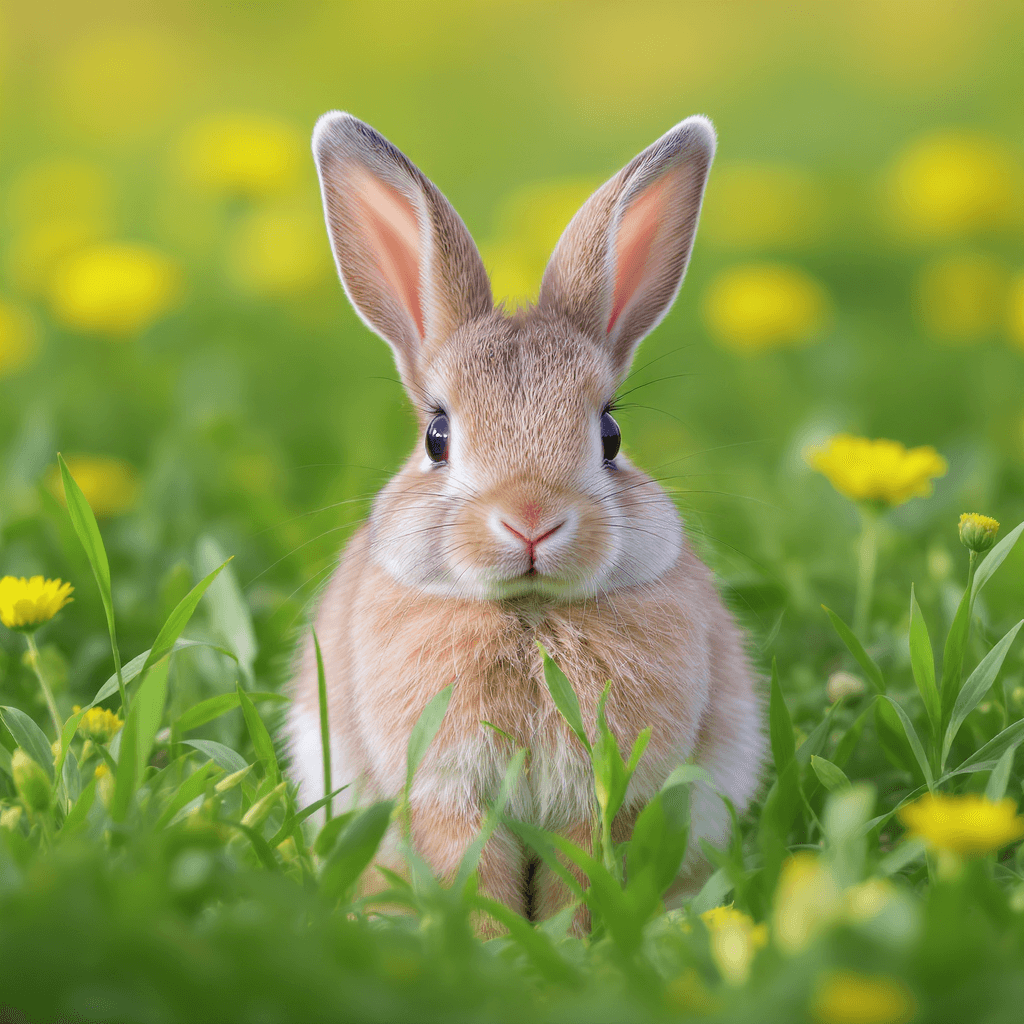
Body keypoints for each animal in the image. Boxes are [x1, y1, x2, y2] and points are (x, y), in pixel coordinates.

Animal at [285, 110, 765, 922]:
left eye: (610, 434)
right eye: (437, 436)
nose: (531, 519)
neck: (530, 612)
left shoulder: (607, 794)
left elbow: (581, 873)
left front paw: (573, 941)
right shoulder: (446, 793)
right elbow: (474, 871)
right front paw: (490, 940)